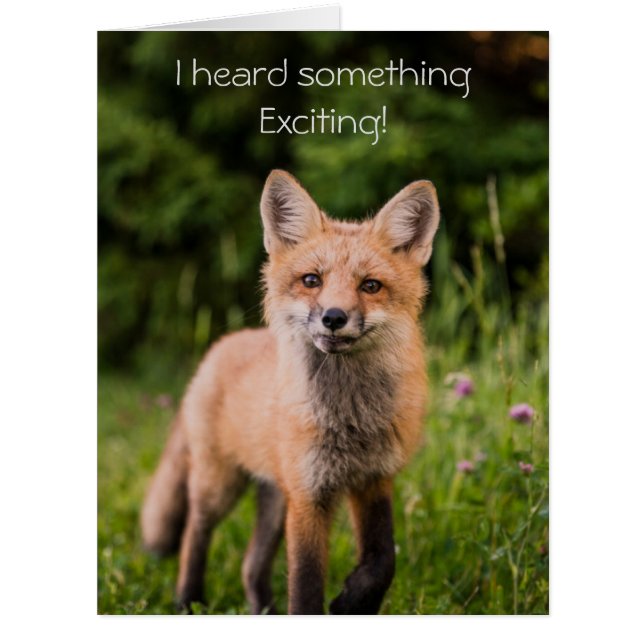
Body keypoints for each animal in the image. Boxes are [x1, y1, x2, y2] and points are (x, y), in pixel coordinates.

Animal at [141, 169, 440, 614]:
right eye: (312, 280)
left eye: (371, 286)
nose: (334, 317)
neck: (349, 420)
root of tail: (219, 348)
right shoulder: (308, 494)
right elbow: (305, 585)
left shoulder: (373, 479)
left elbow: (383, 560)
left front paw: (353, 602)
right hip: (219, 485)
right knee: (195, 532)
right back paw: (187, 600)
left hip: (274, 497)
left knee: (250, 565)